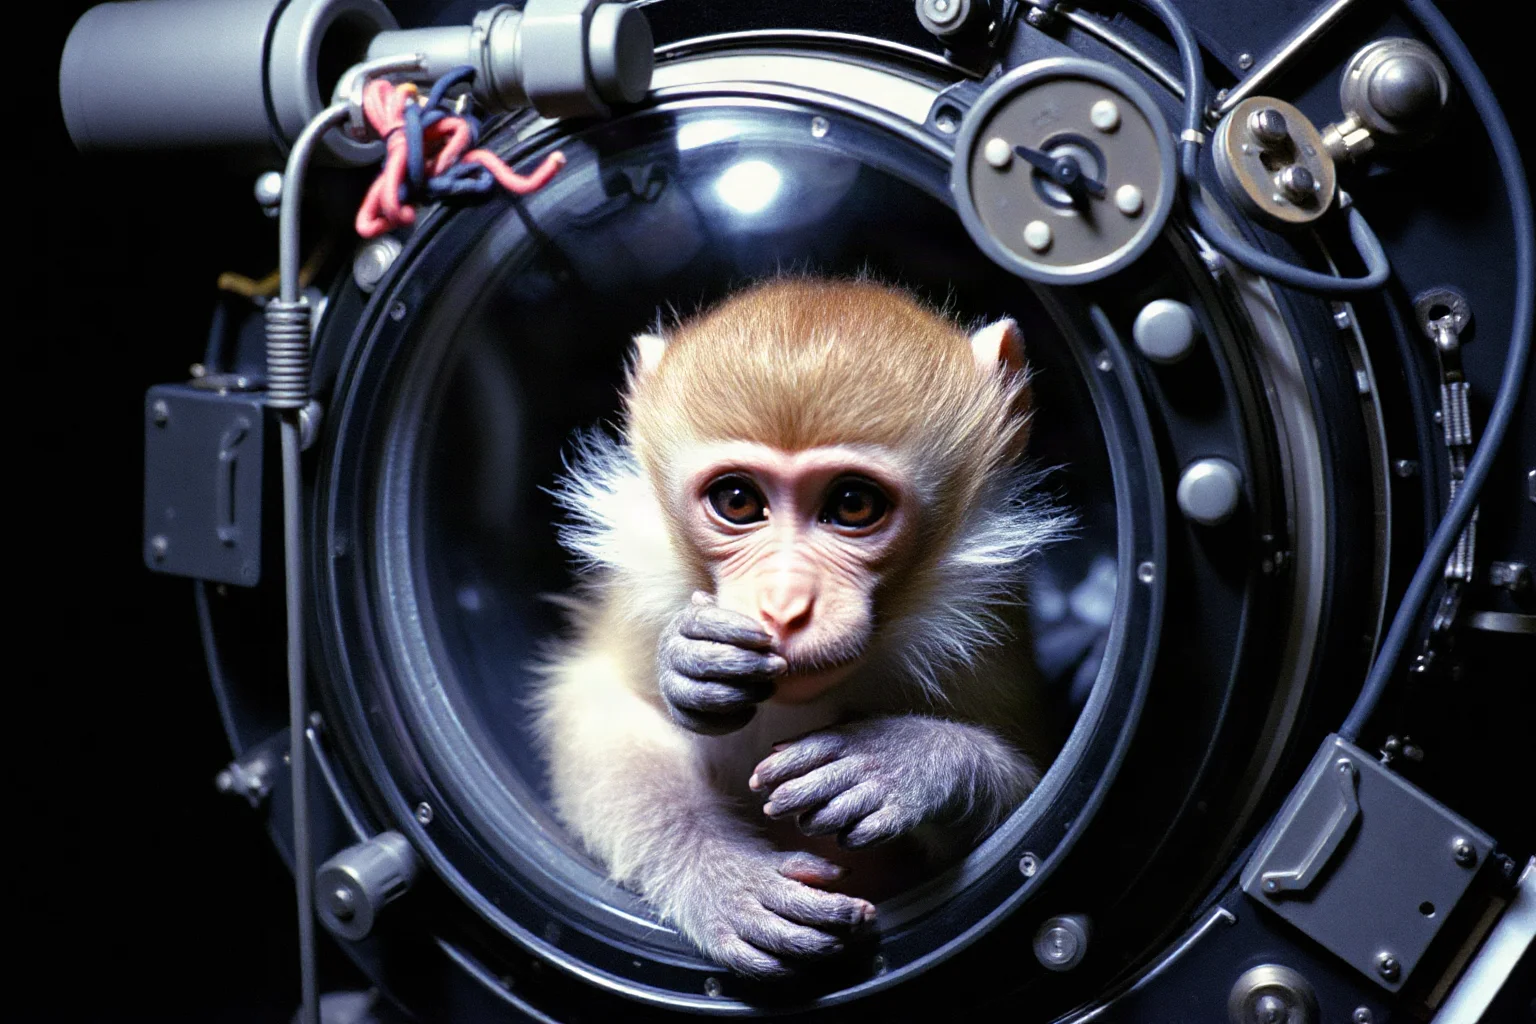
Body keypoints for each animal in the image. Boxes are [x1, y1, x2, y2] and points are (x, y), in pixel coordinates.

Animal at [533, 278, 1068, 979]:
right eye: (738, 501)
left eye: (853, 504)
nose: (785, 605)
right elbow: (596, 706)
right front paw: (719, 872)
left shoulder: (993, 635)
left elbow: (1035, 799)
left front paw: (910, 762)